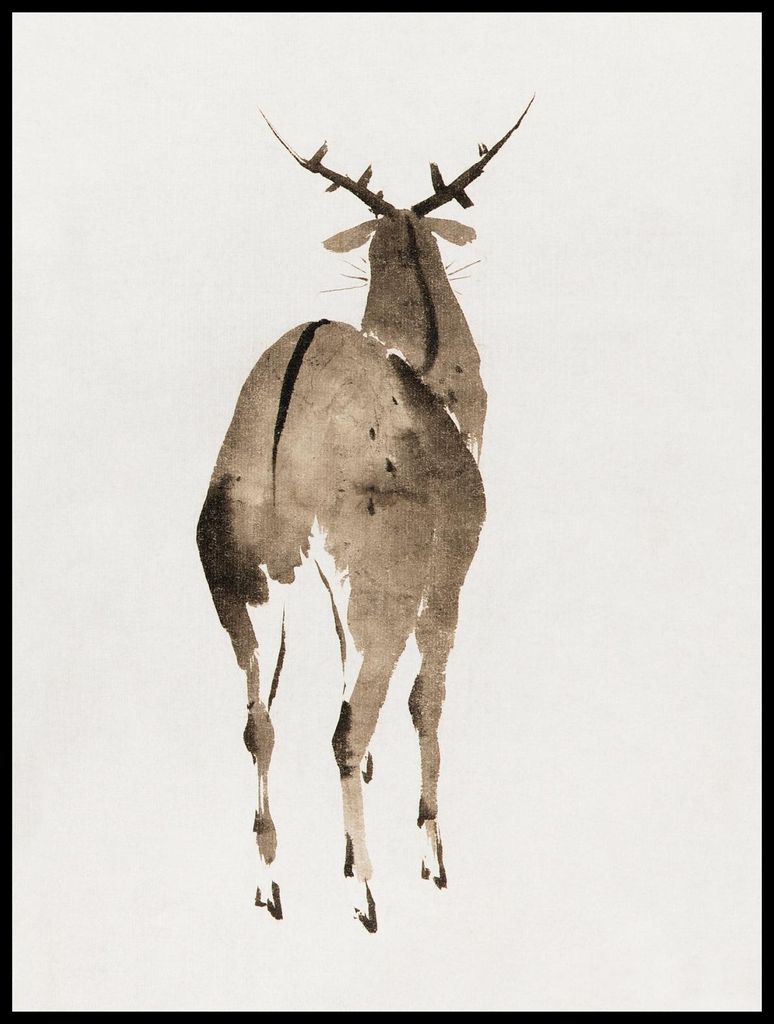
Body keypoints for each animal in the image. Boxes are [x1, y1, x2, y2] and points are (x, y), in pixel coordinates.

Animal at [196, 98, 534, 932]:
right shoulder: (448, 577)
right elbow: (427, 701)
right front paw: (432, 858)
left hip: (238, 579)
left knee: (259, 722)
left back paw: (271, 887)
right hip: (378, 582)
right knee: (349, 724)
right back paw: (367, 896)